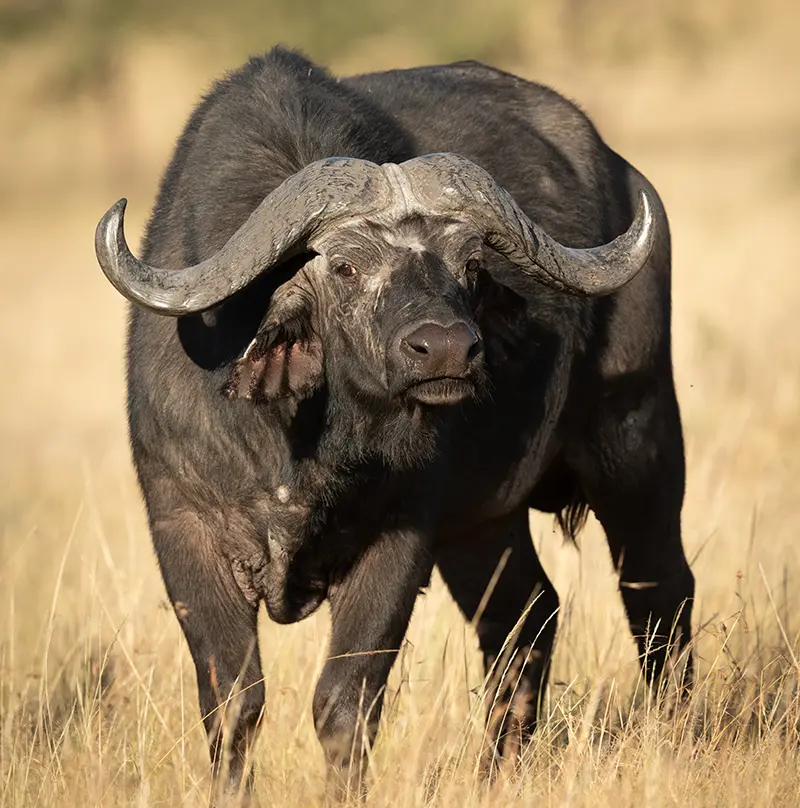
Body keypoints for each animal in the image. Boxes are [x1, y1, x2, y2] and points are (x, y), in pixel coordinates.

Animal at [95, 47, 695, 801]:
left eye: (470, 263)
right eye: (345, 265)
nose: (447, 349)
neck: (305, 441)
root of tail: (623, 173)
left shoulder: (399, 538)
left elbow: (345, 702)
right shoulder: (184, 529)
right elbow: (232, 705)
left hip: (638, 438)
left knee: (658, 594)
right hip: (482, 523)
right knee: (525, 617)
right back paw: (497, 772)